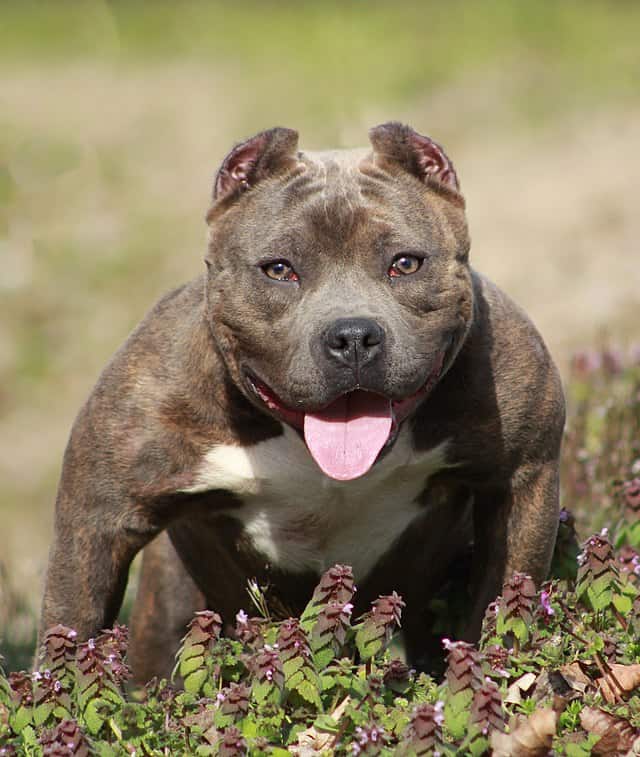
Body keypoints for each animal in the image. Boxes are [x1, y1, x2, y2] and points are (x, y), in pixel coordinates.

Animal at [37, 122, 564, 680]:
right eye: (279, 269)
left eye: (405, 264)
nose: (353, 336)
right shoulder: (97, 518)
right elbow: (72, 627)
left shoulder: (522, 479)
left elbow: (501, 602)